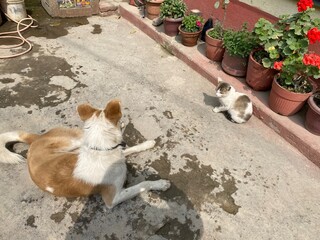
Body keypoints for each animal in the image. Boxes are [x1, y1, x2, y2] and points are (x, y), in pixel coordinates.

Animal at [0, 99, 171, 208]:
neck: (102, 151)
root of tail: (36, 139)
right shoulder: (112, 199)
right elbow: (142, 185)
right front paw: (160, 184)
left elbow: (128, 151)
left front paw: (146, 145)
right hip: (75, 140)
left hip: (78, 147)